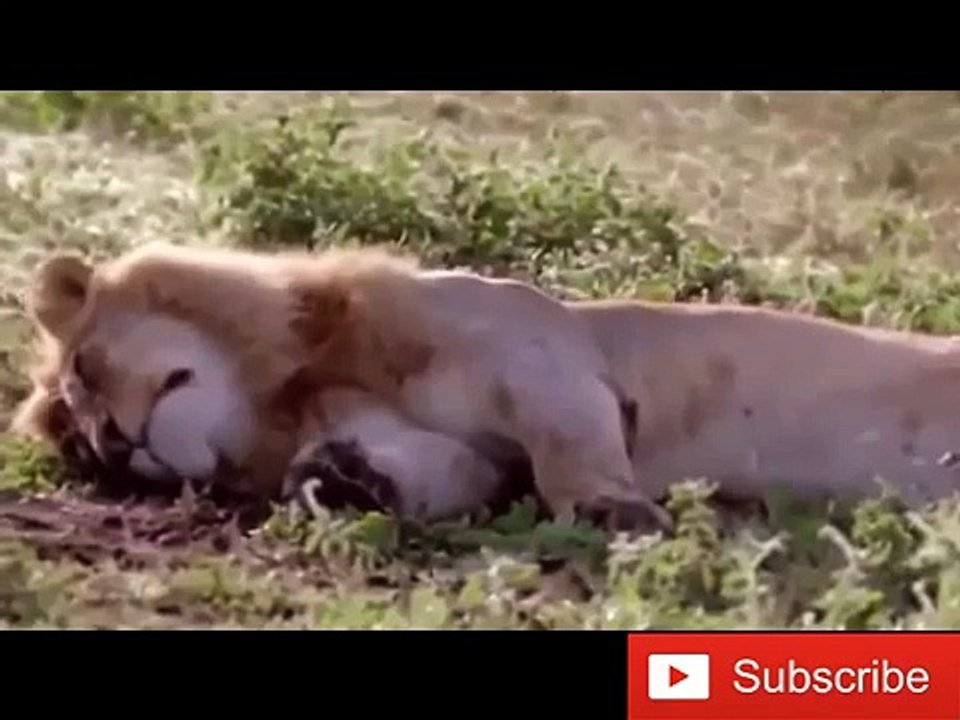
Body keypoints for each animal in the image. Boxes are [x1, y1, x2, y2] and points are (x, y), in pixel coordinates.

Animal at [12, 241, 960, 532]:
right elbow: (433, 471)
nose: (114, 441)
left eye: (86, 373)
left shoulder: (538, 354)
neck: (289, 387)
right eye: (84, 450)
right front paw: (339, 480)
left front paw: (613, 512)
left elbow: (569, 442)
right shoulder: (465, 457)